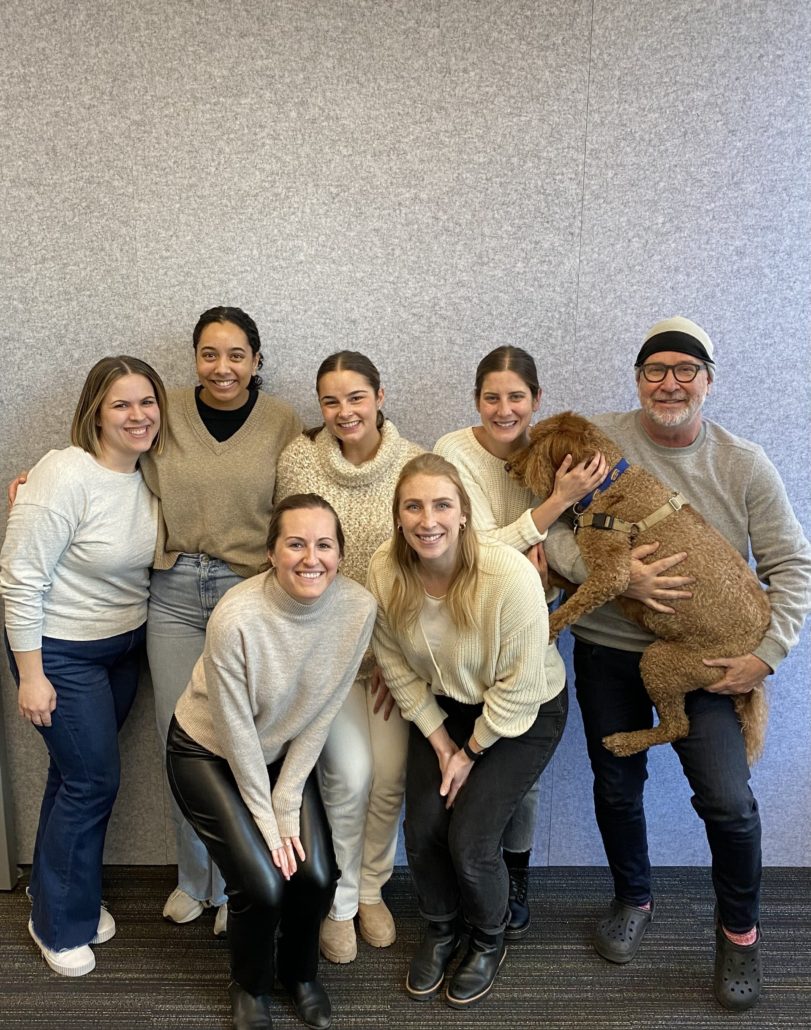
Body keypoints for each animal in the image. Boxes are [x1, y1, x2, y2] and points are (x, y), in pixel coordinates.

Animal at [507, 411, 770, 762]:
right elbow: (561, 580)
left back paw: (624, 741)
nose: (507, 466)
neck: (609, 485)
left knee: (677, 727)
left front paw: (547, 629)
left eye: (534, 443)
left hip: (668, 661)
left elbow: (570, 607)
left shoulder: (612, 574)